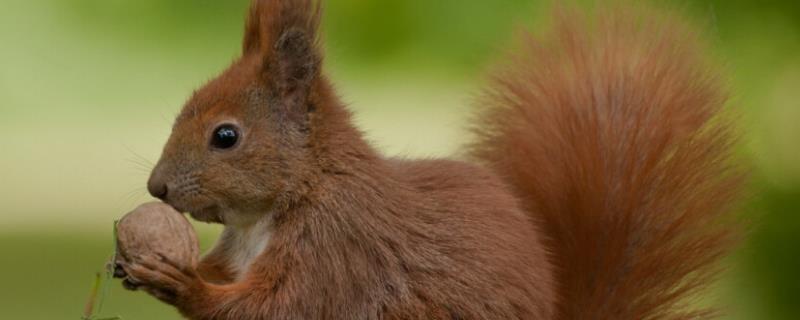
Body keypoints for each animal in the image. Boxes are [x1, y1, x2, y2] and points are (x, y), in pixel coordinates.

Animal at [115, 0, 748, 320]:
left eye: (226, 136)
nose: (156, 189)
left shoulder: (340, 250)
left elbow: (275, 309)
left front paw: (180, 284)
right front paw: (140, 264)